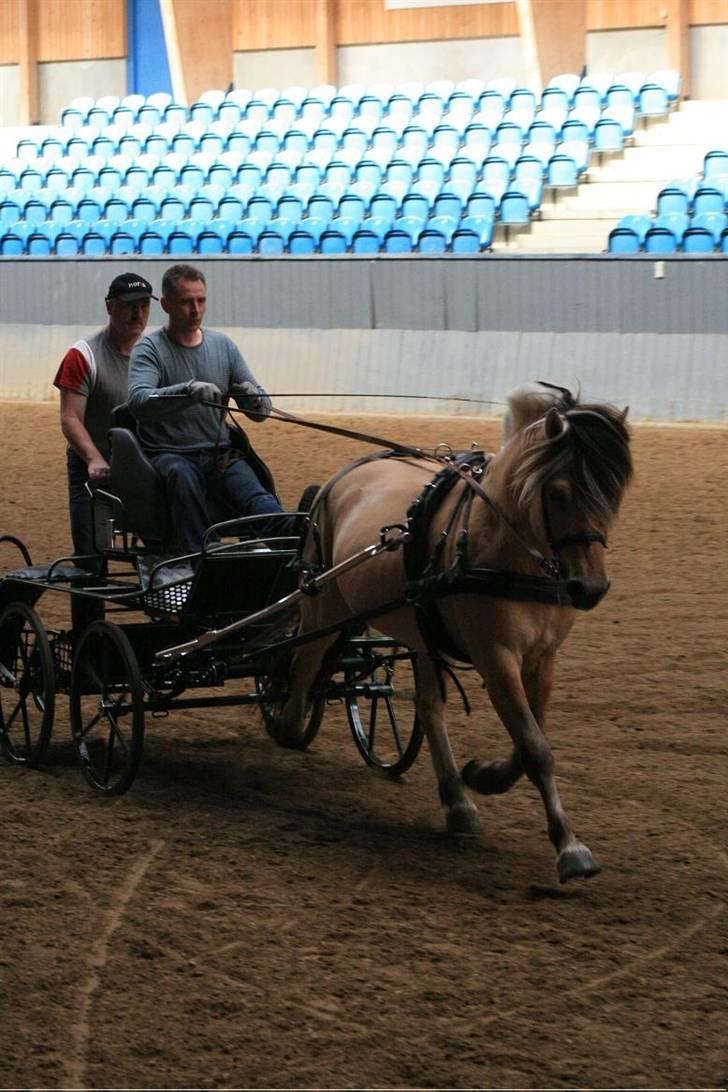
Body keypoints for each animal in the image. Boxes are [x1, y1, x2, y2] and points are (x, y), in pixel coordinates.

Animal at [270, 382, 628, 877]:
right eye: (557, 493)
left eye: (614, 493)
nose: (589, 588)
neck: (502, 547)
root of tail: (347, 473)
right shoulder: (496, 656)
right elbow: (534, 746)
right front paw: (570, 848)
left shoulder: (542, 658)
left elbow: (532, 738)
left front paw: (484, 776)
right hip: (324, 600)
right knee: (304, 663)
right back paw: (288, 724)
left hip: (421, 627)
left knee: (429, 707)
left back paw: (457, 802)